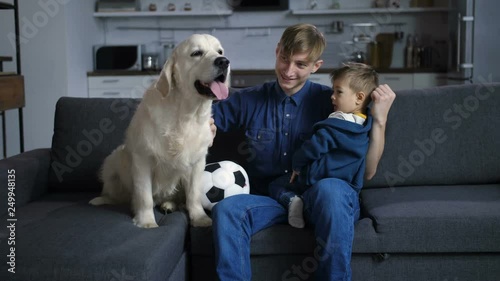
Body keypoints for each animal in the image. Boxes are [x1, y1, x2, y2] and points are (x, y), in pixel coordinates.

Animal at [90, 34, 230, 228]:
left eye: (220, 51)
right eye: (196, 53)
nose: (224, 62)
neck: (185, 114)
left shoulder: (197, 162)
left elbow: (193, 195)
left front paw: (199, 218)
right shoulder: (142, 158)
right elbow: (144, 196)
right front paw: (146, 221)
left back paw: (169, 205)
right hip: (114, 159)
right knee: (117, 196)